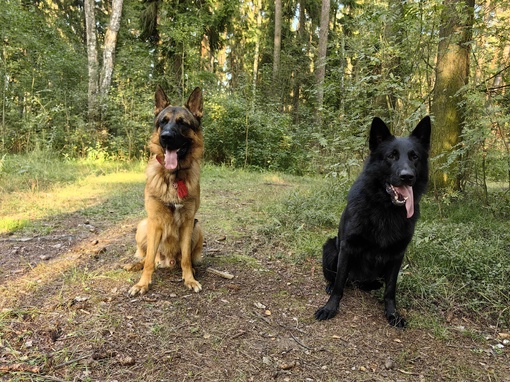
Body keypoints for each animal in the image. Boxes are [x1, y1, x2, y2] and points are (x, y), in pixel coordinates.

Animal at [126, 86, 204, 296]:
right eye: (163, 121)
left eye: (183, 123)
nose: (166, 137)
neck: (173, 178)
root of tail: (167, 261)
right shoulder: (154, 221)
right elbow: (148, 262)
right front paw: (142, 284)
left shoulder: (188, 222)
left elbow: (186, 258)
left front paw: (189, 279)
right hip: (144, 225)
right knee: (148, 258)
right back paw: (135, 265)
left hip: (198, 227)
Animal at [314, 115, 430, 328]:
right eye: (391, 156)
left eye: (414, 156)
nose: (407, 176)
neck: (385, 208)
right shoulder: (347, 247)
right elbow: (339, 284)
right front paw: (330, 307)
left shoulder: (397, 255)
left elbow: (390, 290)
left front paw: (392, 314)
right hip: (331, 247)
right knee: (339, 279)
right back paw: (331, 285)